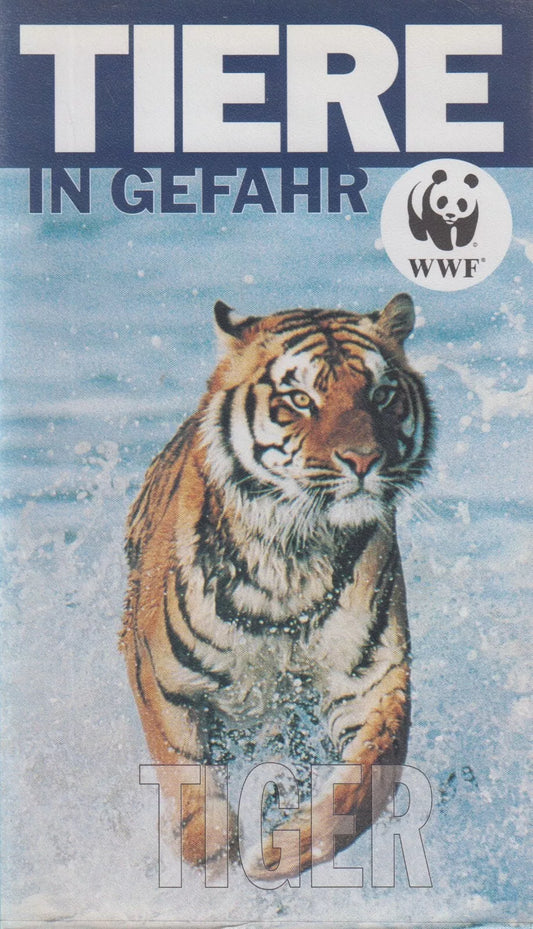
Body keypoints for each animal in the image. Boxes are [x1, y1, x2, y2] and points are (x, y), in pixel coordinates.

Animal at [121, 292, 434, 879]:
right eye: (300, 399)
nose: (364, 459)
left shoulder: (372, 679)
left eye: (381, 395)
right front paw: (211, 855)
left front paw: (281, 853)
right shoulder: (160, 677)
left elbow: (366, 784)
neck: (295, 553)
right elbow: (183, 775)